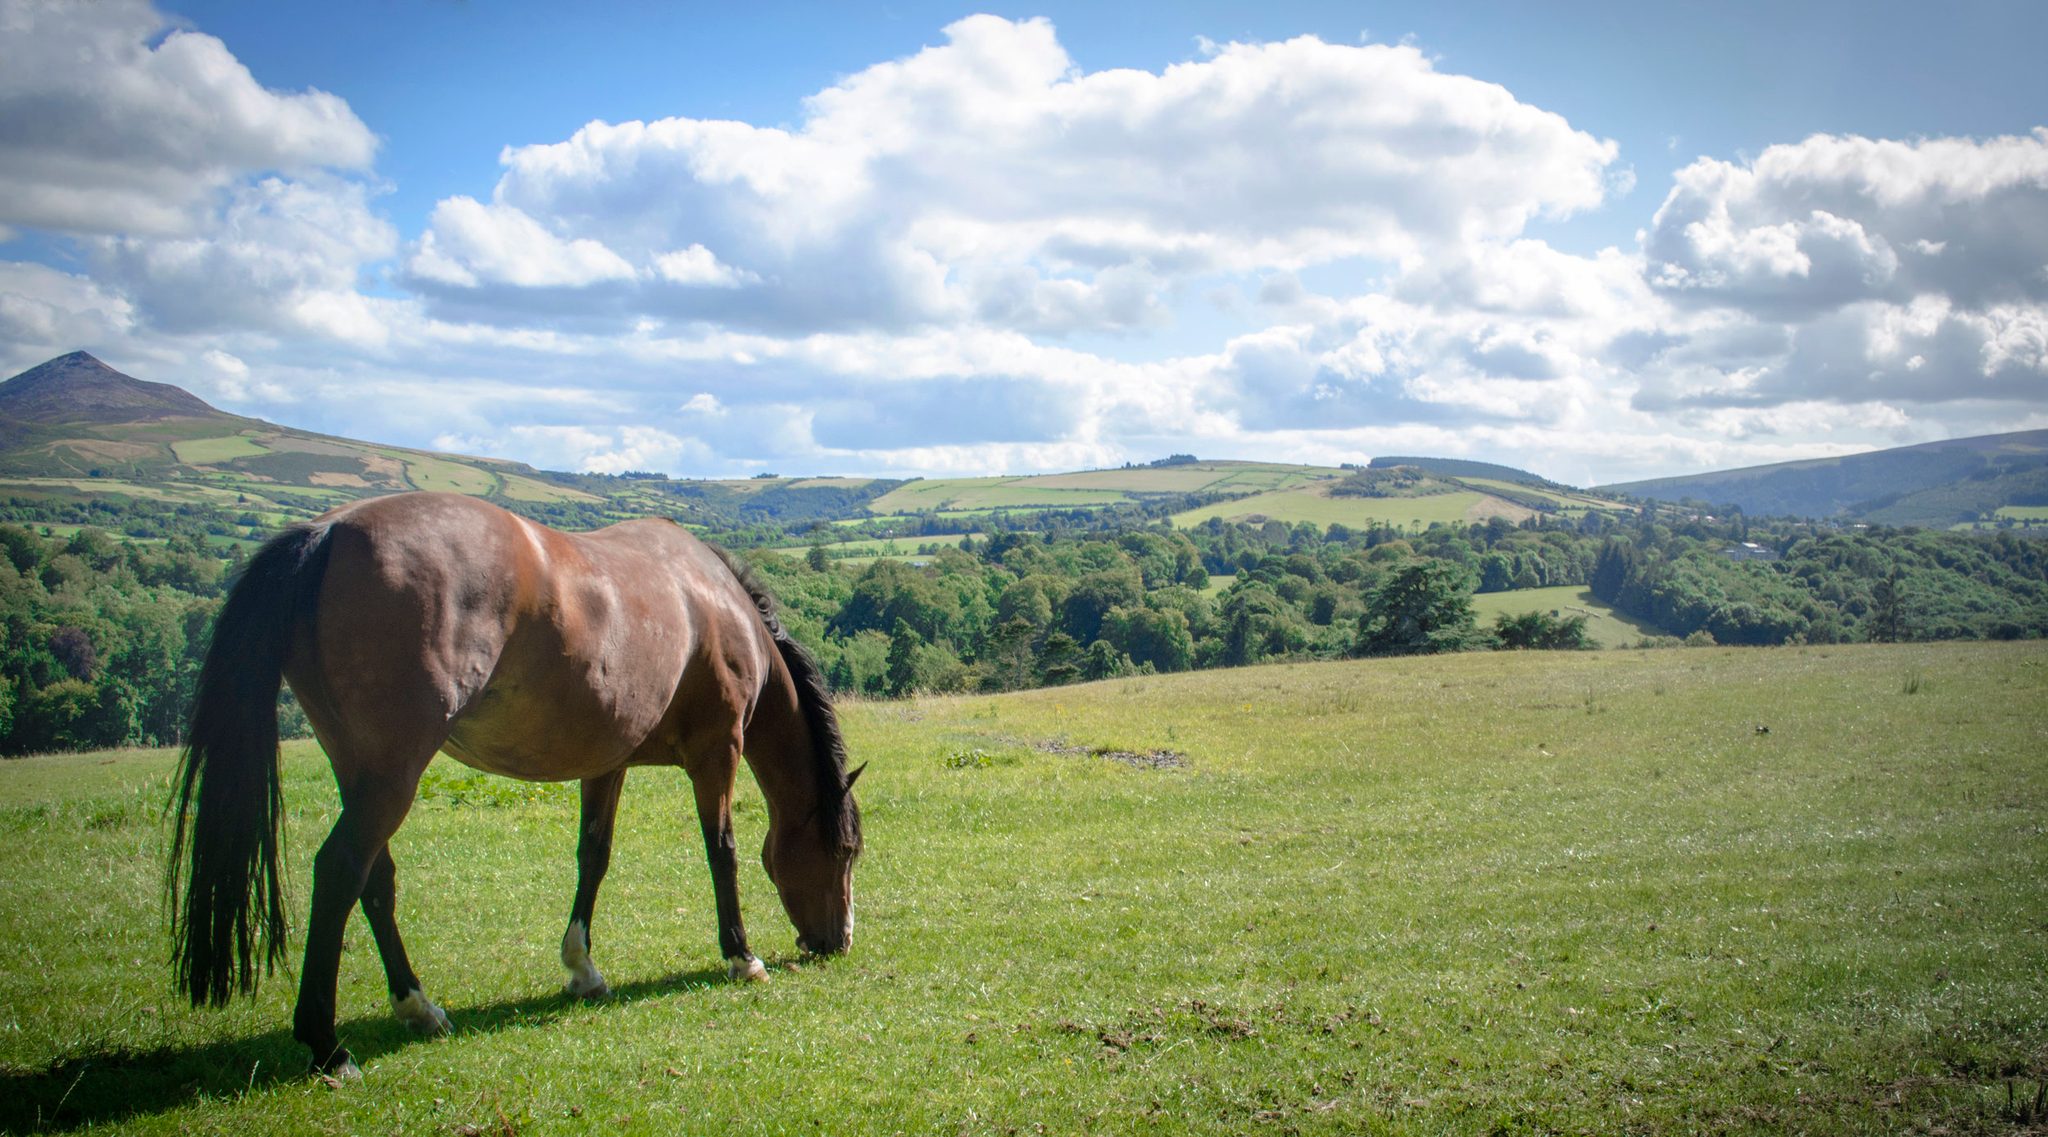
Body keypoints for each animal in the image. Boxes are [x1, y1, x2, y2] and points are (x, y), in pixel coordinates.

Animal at [167, 492, 862, 1078]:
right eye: (846, 852)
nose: (838, 943)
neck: (715, 604)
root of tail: (327, 533)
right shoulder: (717, 753)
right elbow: (723, 852)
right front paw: (742, 956)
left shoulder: (606, 763)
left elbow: (593, 856)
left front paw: (583, 968)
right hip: (393, 773)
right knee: (340, 869)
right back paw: (327, 1047)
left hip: (359, 771)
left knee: (375, 879)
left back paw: (419, 1007)